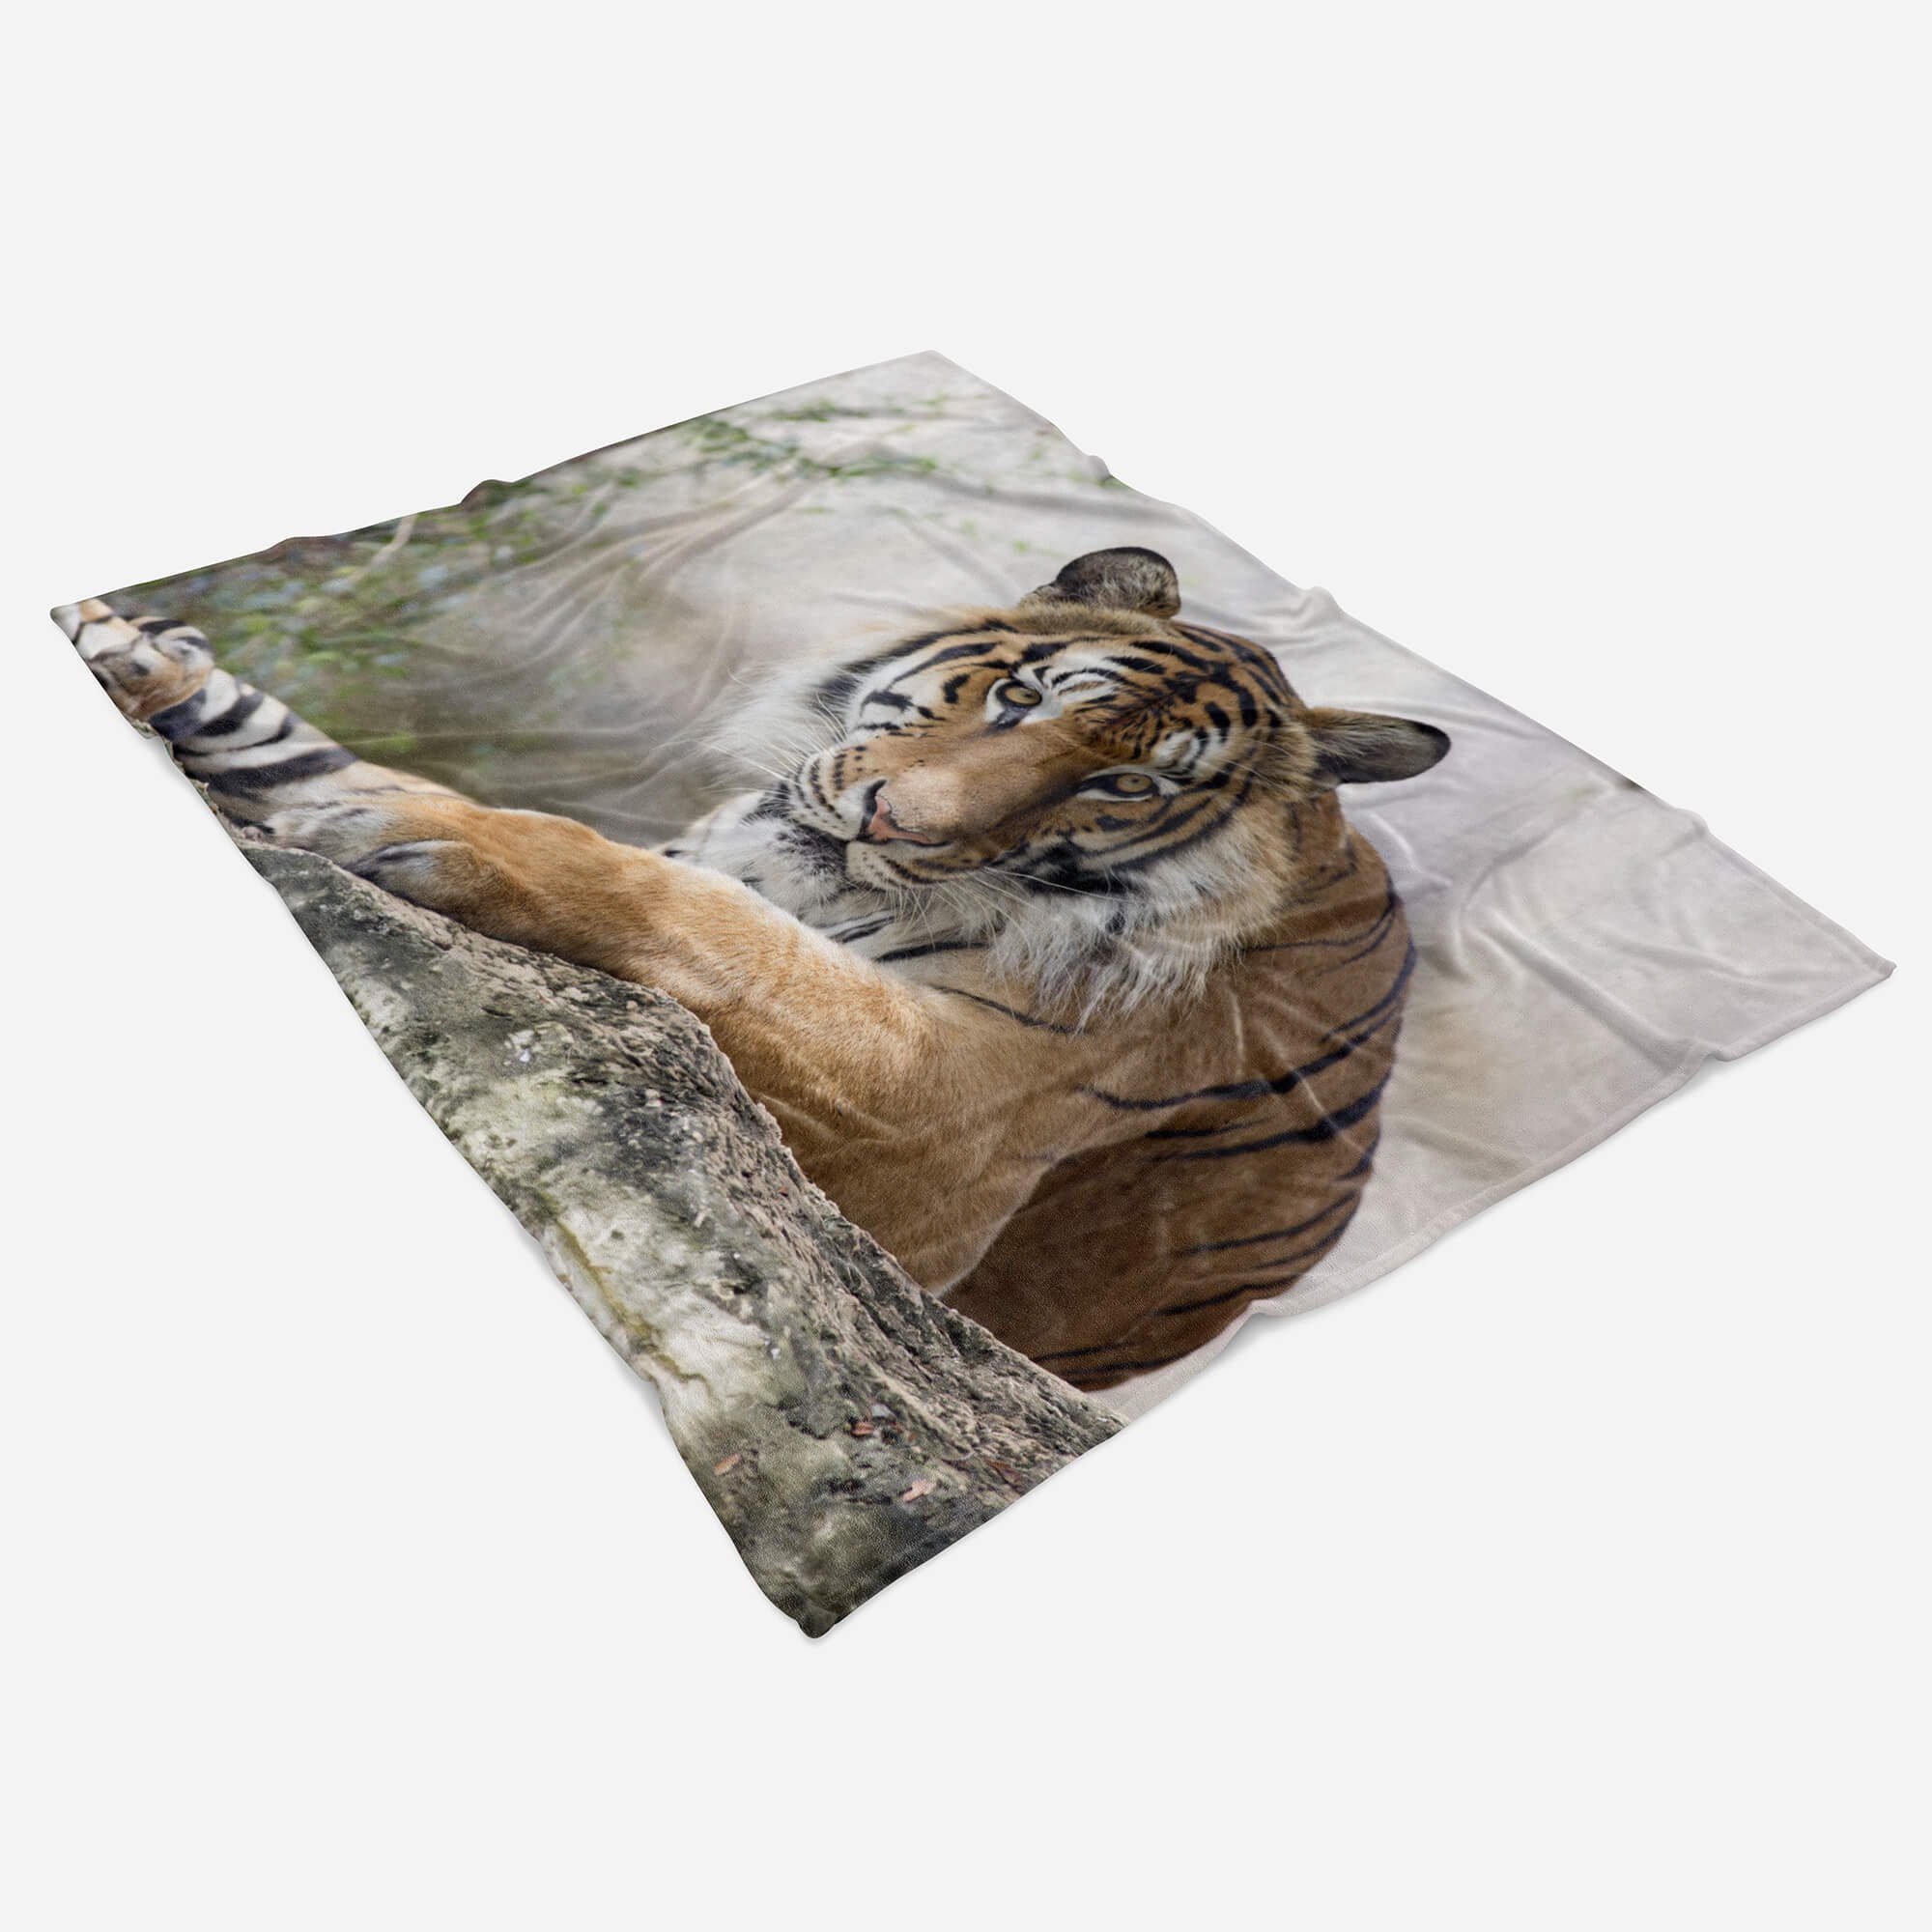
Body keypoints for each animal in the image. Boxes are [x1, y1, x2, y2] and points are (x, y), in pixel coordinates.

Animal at [59, 546, 1448, 1392]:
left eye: (1126, 789)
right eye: (1016, 696)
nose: (899, 823)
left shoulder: (930, 1128)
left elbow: (719, 933)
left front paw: (425, 829)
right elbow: (283, 742)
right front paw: (133, 643)